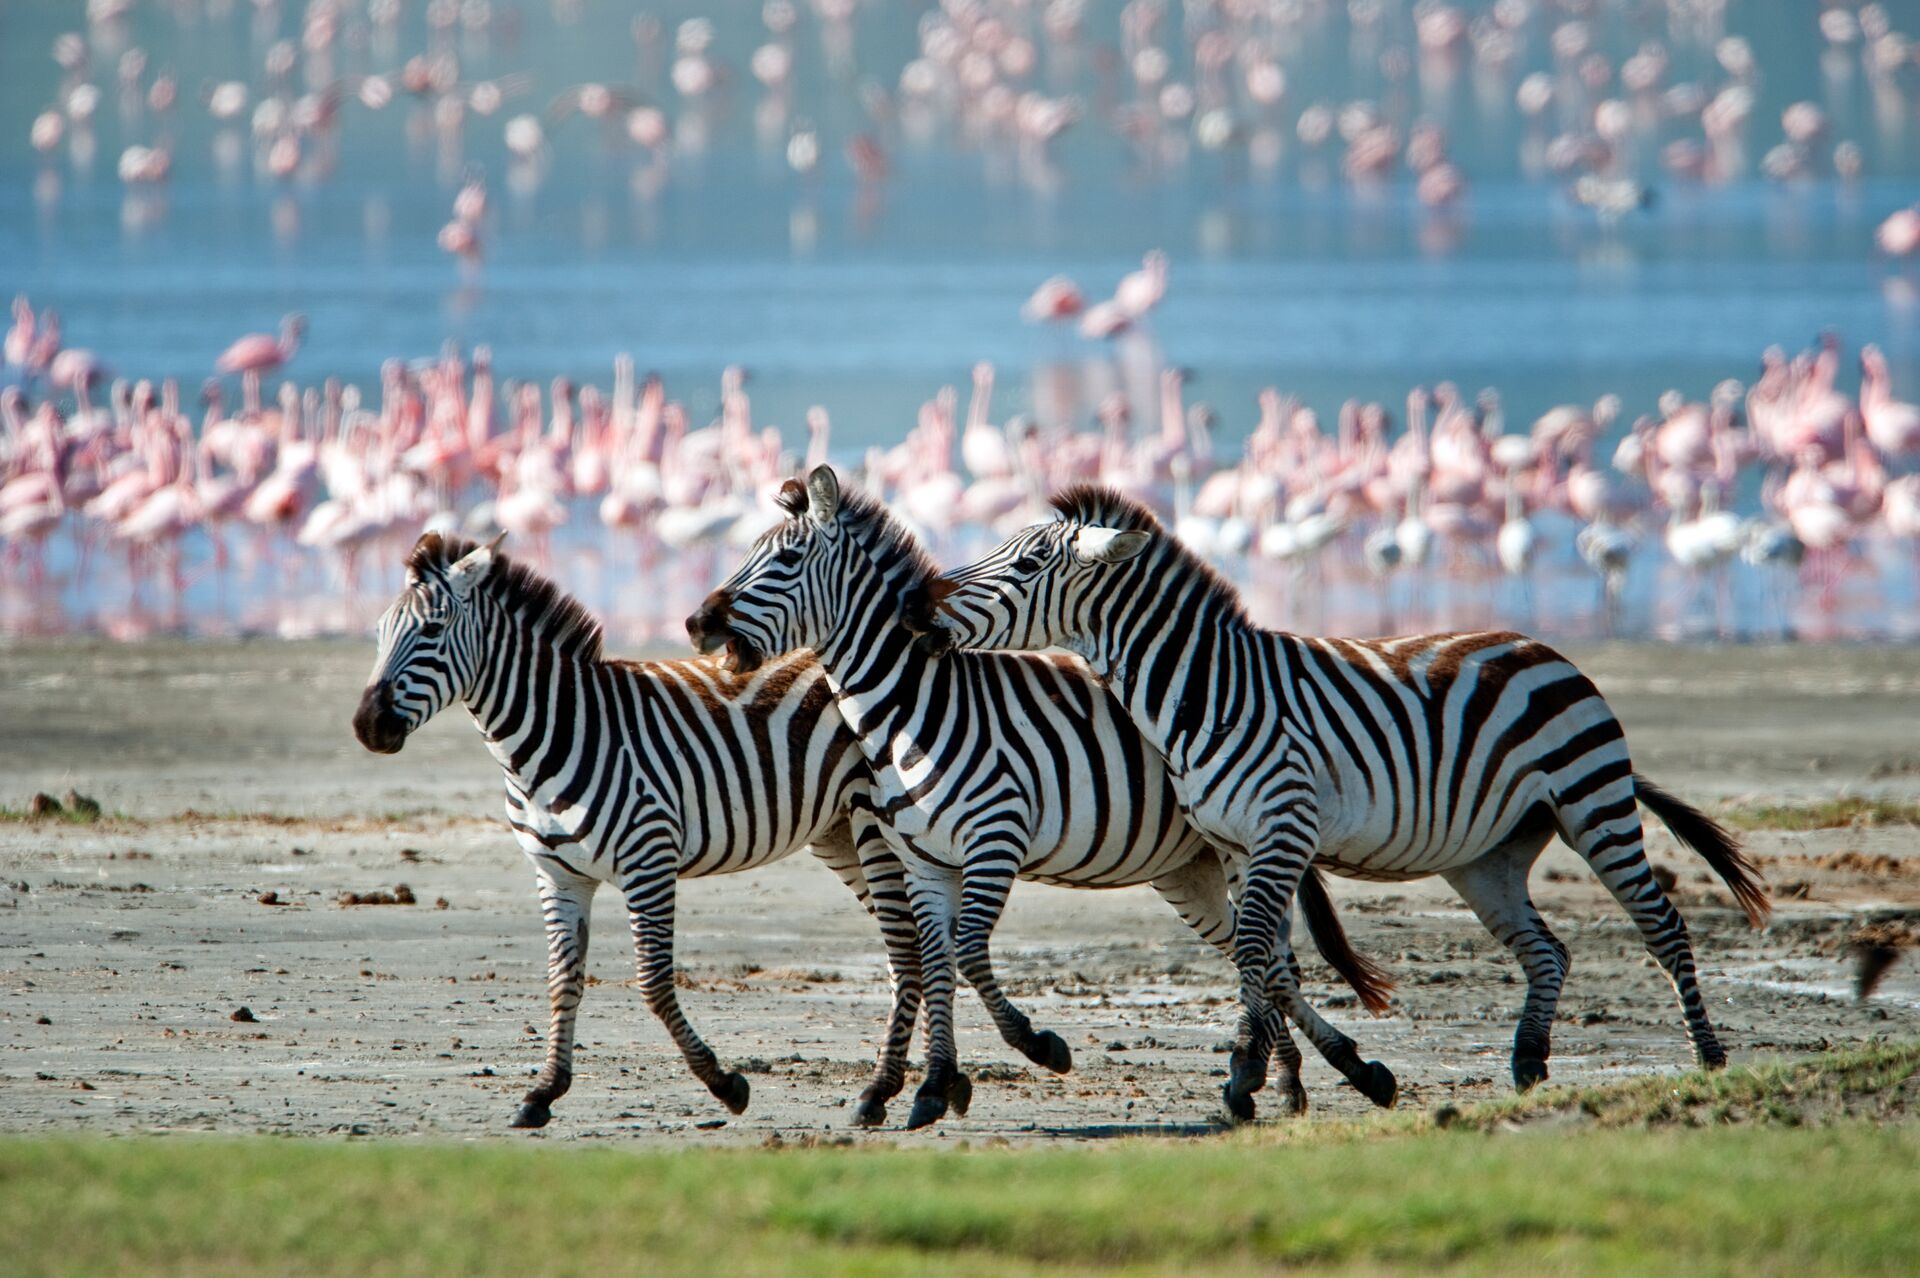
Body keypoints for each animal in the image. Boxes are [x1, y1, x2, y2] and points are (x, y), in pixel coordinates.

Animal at [352, 531, 928, 1127]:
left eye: (432, 630)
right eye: (379, 633)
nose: (368, 726)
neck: (552, 736)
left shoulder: (647, 859)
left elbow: (652, 982)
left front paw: (725, 1085)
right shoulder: (557, 875)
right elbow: (564, 979)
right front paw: (543, 1092)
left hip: (875, 828)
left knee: (909, 947)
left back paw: (888, 1089)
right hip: (837, 834)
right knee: (909, 947)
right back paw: (929, 1082)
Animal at [686, 466, 1397, 1129]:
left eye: (784, 562)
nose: (695, 624)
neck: (914, 706)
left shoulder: (992, 838)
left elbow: (966, 952)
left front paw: (1037, 1047)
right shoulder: (922, 856)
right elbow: (938, 958)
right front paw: (934, 1087)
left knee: (1274, 955)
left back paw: (1310, 1076)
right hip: (1191, 869)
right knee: (1265, 955)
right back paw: (1288, 1082)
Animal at [902, 485, 1771, 1120]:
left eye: (1026, 565)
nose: (919, 611)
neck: (1206, 691)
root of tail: (1541, 647)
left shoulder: (1281, 827)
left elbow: (1259, 947)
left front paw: (1245, 1075)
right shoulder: (1240, 844)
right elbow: (1263, 954)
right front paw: (1274, 1074)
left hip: (1594, 802)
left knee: (1663, 926)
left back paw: (1708, 1059)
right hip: (1487, 857)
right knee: (1547, 950)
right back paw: (1528, 1062)